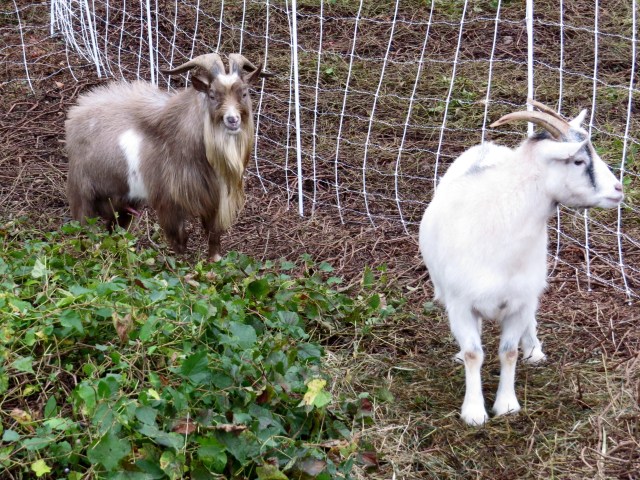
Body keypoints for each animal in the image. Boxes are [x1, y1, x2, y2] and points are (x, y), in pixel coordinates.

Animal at [66, 53, 268, 260]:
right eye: (212, 95)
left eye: (244, 93)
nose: (232, 119)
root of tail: (76, 113)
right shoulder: (168, 202)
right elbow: (180, 240)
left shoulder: (213, 201)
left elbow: (213, 237)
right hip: (82, 193)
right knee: (83, 229)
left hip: (124, 201)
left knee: (115, 232)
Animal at [419, 100, 624, 425]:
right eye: (578, 161)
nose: (618, 190)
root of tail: (487, 147)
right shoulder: (461, 303)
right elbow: (474, 353)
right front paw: (474, 412)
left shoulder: (519, 303)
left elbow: (509, 352)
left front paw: (507, 405)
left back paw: (534, 350)